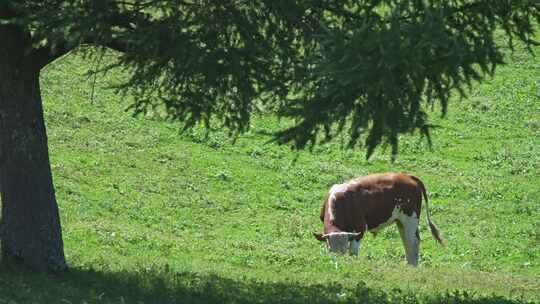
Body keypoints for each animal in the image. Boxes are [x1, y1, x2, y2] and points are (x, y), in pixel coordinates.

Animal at [312, 173, 442, 266]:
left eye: (343, 251)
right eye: (330, 250)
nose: (339, 262)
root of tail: (407, 176)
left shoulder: (359, 229)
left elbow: (353, 253)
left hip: (410, 219)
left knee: (412, 242)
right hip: (401, 221)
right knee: (407, 242)